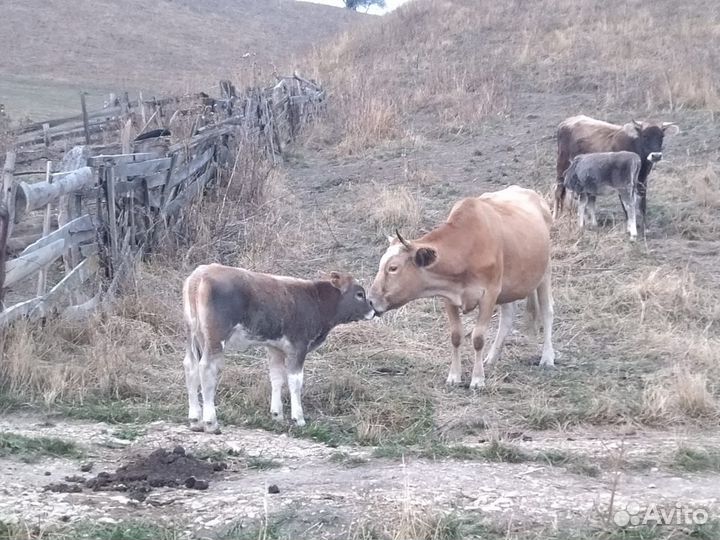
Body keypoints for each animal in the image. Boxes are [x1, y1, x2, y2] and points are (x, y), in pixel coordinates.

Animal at [182, 264, 374, 433]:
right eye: (359, 294)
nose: (374, 311)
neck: (316, 300)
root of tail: (199, 275)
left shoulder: (275, 348)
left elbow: (276, 378)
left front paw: (277, 414)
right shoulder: (298, 346)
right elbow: (295, 382)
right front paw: (298, 418)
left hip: (193, 335)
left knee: (190, 367)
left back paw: (195, 420)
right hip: (215, 336)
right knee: (207, 369)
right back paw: (211, 422)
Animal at [368, 185, 555, 390]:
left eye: (393, 268)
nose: (371, 300)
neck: (468, 247)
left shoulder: (489, 294)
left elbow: (478, 338)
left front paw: (477, 379)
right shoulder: (449, 296)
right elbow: (456, 336)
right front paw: (454, 376)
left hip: (544, 273)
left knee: (547, 311)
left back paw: (547, 357)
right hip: (508, 287)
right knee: (507, 316)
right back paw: (492, 358)